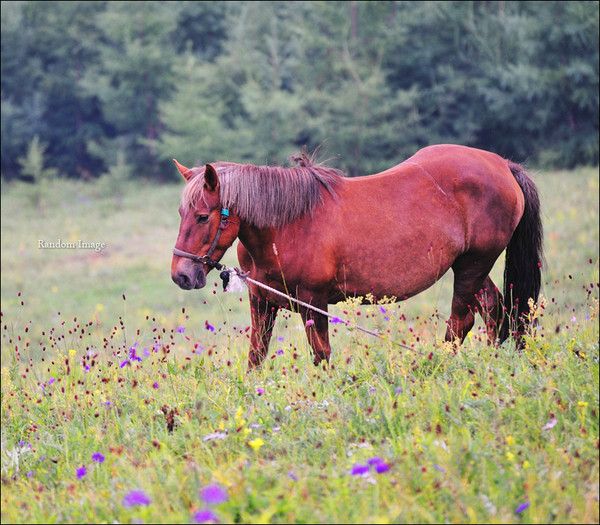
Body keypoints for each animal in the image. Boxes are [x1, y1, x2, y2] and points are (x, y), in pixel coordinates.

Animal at [171, 141, 540, 366]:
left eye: (203, 216)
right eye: (181, 212)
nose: (181, 275)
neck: (285, 227)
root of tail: (502, 165)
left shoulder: (313, 301)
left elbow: (321, 354)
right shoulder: (261, 301)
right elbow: (256, 356)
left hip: (472, 266)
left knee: (461, 322)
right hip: (471, 267)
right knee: (496, 312)